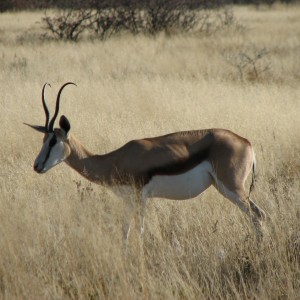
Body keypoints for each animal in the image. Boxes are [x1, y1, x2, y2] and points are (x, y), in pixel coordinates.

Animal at [25, 83, 264, 240]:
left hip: (232, 188)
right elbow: (125, 233)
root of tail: (247, 142)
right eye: (43, 139)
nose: (37, 166)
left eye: (53, 140)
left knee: (257, 215)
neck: (115, 159)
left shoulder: (141, 198)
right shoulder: (128, 201)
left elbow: (139, 232)